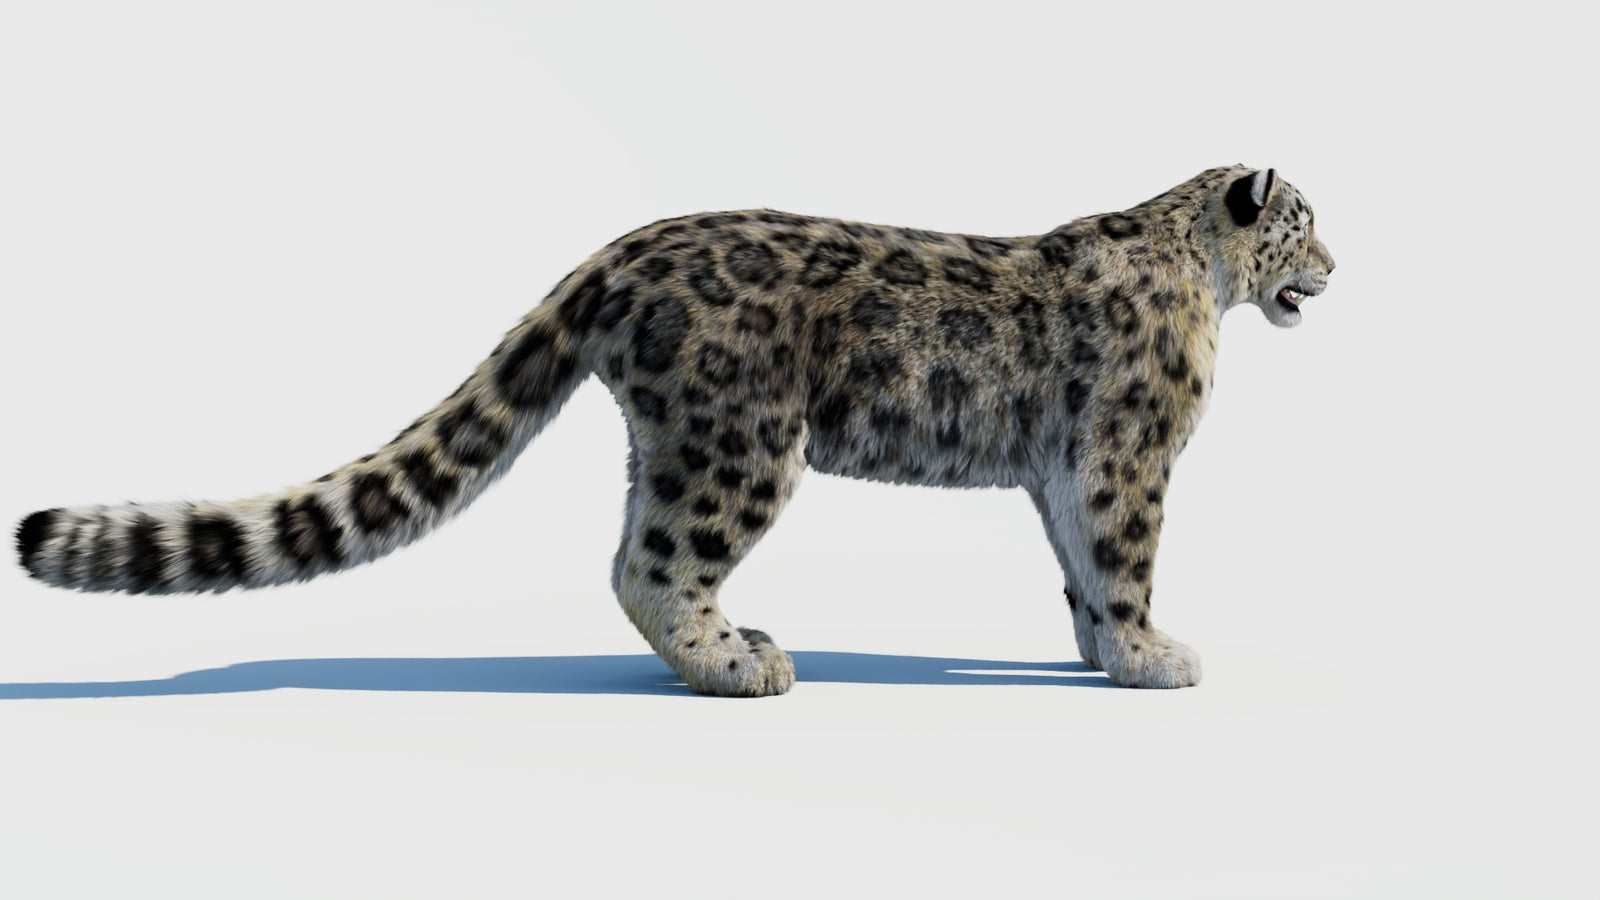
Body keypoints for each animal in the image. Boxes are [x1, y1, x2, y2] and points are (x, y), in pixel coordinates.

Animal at [14, 165, 1334, 695]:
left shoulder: (1063, 463)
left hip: (680, 439)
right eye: (1305, 221)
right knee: (649, 563)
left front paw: (1101, 652)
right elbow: (1122, 555)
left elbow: (1077, 566)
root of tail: (622, 250)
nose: (1335, 267)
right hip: (740, 443)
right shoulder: (1127, 450)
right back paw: (737, 662)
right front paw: (1153, 655)